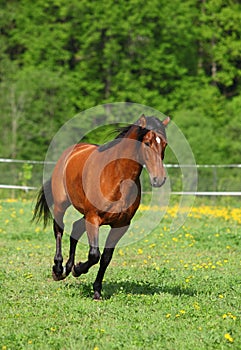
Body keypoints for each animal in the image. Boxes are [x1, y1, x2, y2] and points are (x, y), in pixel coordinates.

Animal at [33, 113, 170, 300]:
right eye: (147, 142)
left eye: (164, 144)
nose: (159, 179)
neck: (116, 177)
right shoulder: (93, 218)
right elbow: (94, 254)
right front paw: (78, 269)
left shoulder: (121, 225)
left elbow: (105, 257)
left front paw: (96, 290)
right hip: (62, 205)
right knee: (59, 230)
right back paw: (59, 269)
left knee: (75, 228)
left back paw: (68, 267)